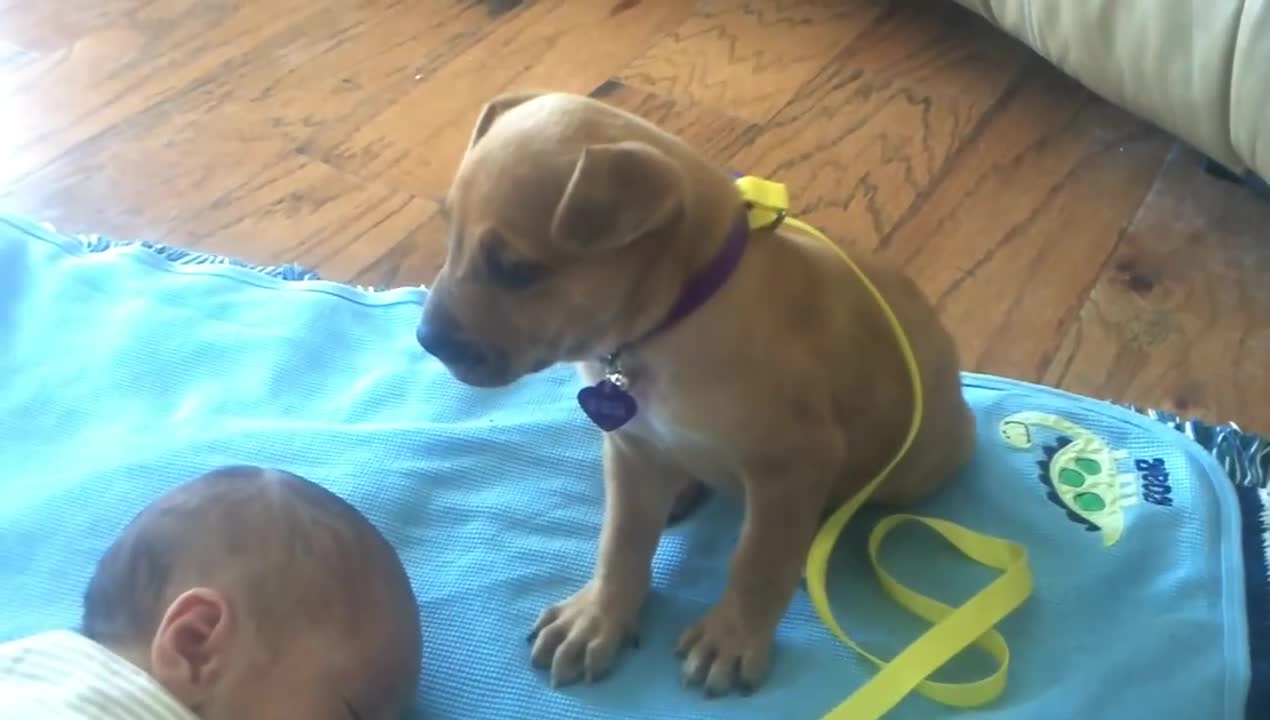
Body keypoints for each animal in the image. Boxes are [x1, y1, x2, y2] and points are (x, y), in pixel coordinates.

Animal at [416, 90, 970, 700]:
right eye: (446, 231)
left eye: (517, 270)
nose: (426, 340)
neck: (671, 321)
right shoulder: (631, 445)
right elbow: (621, 540)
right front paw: (598, 618)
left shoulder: (793, 462)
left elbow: (757, 560)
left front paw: (733, 636)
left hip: (908, 468)